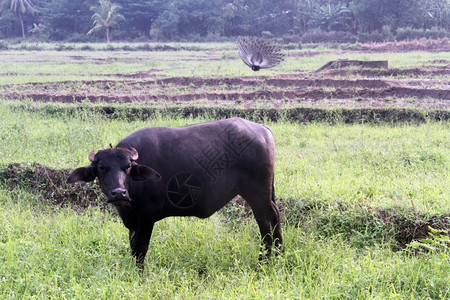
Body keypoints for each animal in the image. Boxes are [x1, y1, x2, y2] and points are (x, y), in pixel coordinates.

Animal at [67, 117, 282, 268]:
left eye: (127, 167)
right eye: (101, 167)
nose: (118, 193)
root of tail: (262, 129)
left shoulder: (146, 218)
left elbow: (141, 248)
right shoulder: (132, 222)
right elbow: (133, 248)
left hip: (257, 194)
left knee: (266, 223)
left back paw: (263, 261)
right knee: (275, 216)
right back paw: (280, 255)